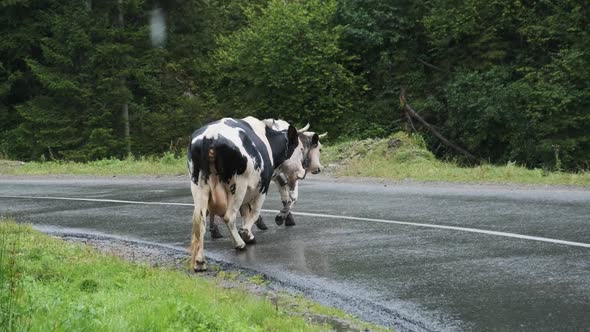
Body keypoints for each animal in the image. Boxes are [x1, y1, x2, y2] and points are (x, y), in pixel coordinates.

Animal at [187, 116, 306, 272]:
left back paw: (200, 262)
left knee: (199, 219)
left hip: (198, 185)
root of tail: (210, 136)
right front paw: (247, 235)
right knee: (229, 216)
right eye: (301, 148)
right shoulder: (263, 186)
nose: (303, 172)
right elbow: (254, 213)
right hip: (238, 186)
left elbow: (244, 212)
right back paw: (239, 244)